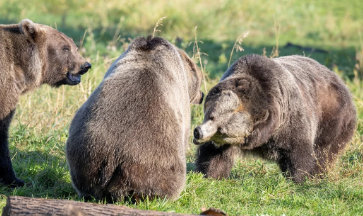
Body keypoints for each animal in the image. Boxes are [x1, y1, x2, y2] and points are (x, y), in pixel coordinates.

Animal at [195, 54, 356, 182]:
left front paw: (299, 177)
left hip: (333, 118)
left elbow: (298, 153)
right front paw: (209, 172)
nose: (198, 132)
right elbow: (215, 155)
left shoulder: (290, 121)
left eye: (222, 130)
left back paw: (316, 174)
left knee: (324, 151)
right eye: (211, 116)